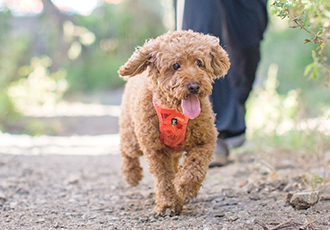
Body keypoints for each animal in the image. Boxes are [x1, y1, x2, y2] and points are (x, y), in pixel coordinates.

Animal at [118, 30, 229, 216]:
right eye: (176, 65)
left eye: (199, 63)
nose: (194, 86)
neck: (175, 114)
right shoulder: (155, 149)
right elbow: (164, 179)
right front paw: (168, 204)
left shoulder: (204, 141)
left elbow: (195, 167)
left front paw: (185, 187)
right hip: (132, 136)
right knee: (127, 151)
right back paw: (131, 175)